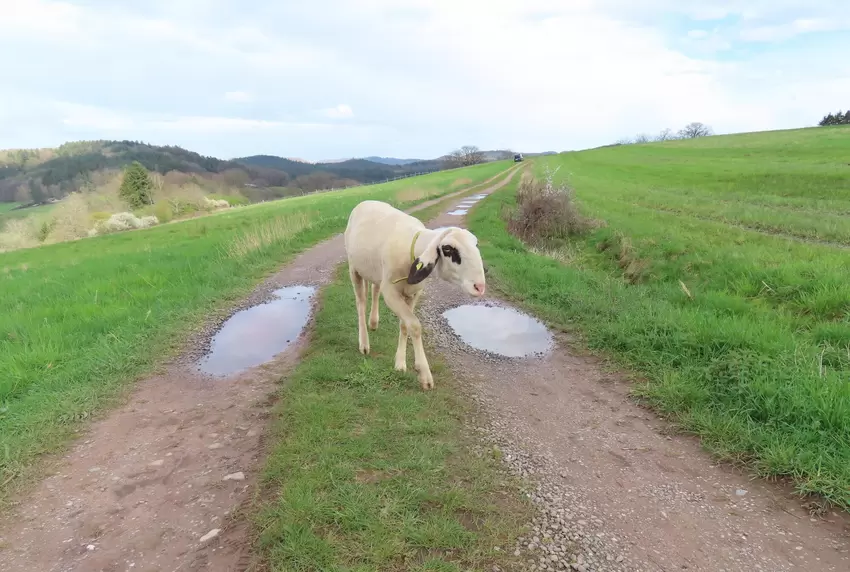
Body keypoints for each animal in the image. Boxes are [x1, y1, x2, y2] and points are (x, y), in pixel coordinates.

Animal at [340, 199, 484, 392]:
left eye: (475, 245)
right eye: (447, 249)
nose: (480, 287)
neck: (412, 250)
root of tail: (367, 201)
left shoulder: (414, 293)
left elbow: (404, 325)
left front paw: (400, 363)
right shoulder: (391, 293)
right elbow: (414, 326)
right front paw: (425, 375)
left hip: (375, 272)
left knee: (375, 290)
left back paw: (374, 322)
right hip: (354, 269)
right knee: (361, 302)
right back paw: (364, 343)